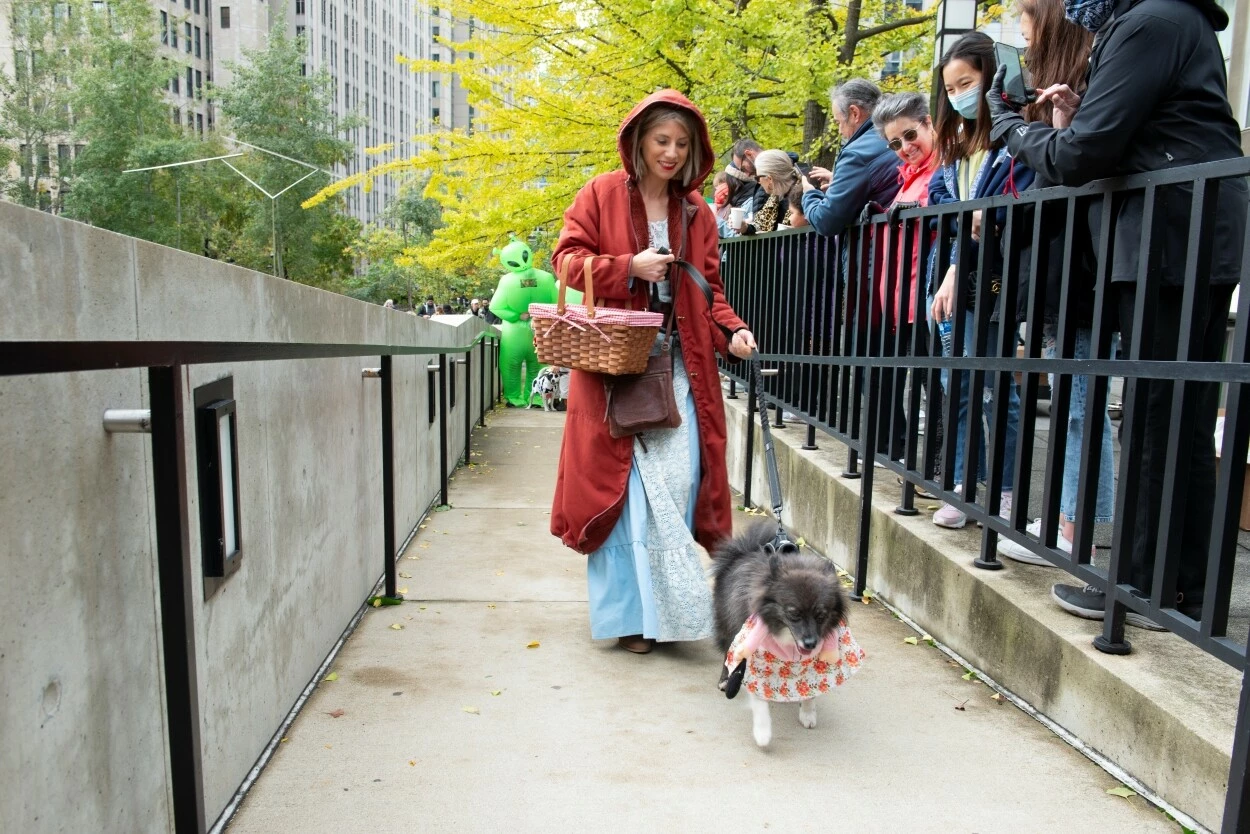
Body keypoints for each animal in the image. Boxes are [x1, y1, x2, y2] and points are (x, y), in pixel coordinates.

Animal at [710, 522, 865, 750]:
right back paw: (724, 680)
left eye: (821, 615)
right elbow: (759, 701)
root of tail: (745, 550)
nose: (810, 643)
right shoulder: (754, 658)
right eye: (793, 613)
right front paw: (762, 733)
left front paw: (808, 712)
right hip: (728, 628)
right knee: (727, 654)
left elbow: (811, 686)